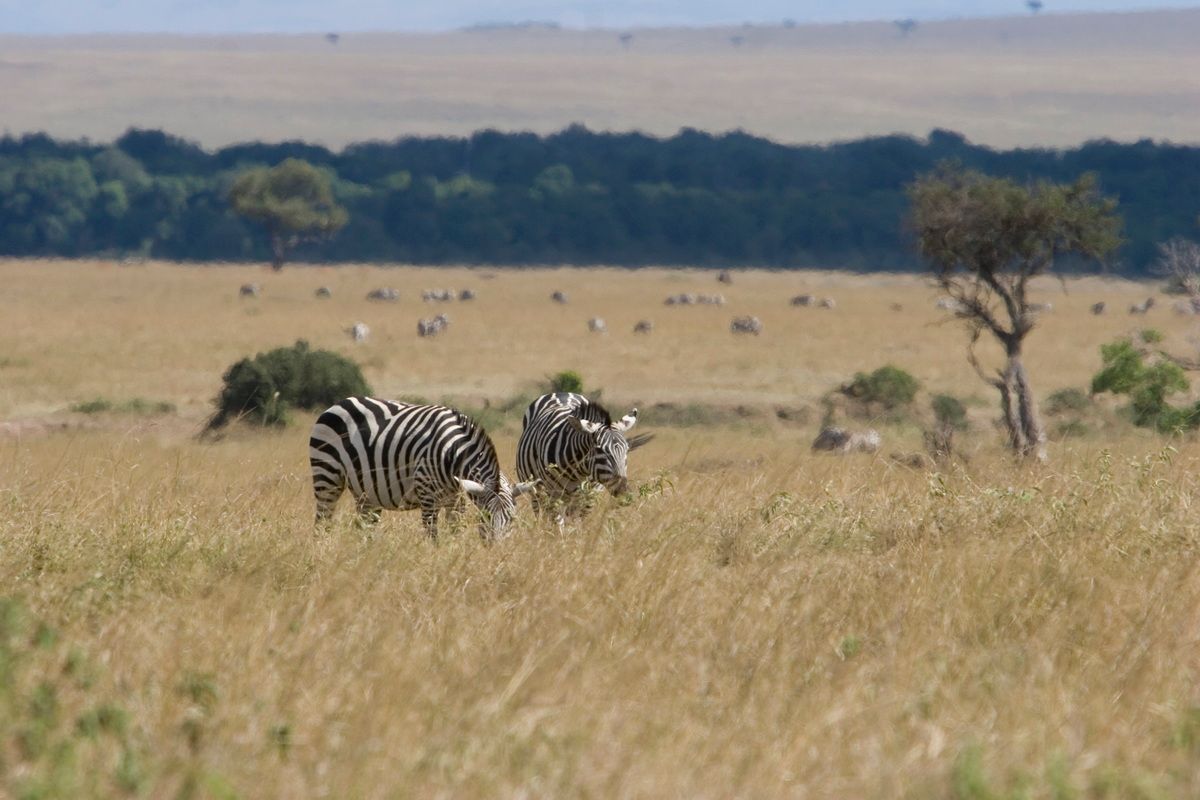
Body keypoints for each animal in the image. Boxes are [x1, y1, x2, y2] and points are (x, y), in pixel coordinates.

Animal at [309, 397, 536, 539]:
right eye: (486, 517)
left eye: (512, 519)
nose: (497, 551)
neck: (453, 453)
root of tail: (339, 403)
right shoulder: (427, 495)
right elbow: (432, 536)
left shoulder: (456, 498)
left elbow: (456, 531)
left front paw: (455, 554)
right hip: (327, 475)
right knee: (322, 521)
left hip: (365, 491)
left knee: (363, 526)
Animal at [516, 393, 652, 520]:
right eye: (599, 450)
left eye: (626, 450)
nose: (624, 494)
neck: (578, 471)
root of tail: (562, 392)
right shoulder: (552, 494)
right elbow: (558, 524)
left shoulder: (589, 497)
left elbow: (577, 524)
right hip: (534, 491)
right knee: (540, 512)